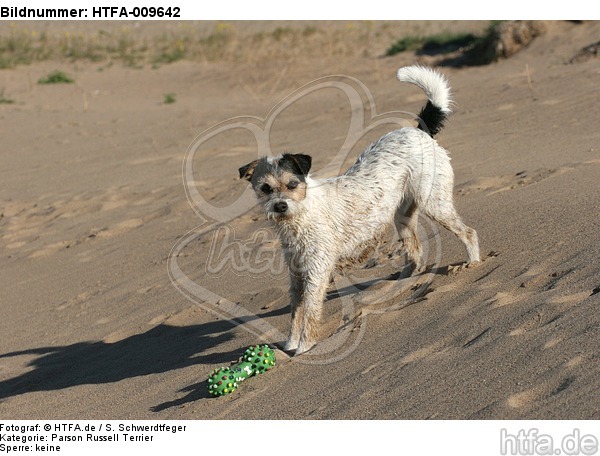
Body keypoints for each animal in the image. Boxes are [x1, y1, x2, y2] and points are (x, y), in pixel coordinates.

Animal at [238, 65, 478, 356]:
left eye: (292, 184)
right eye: (265, 188)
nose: (280, 206)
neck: (301, 215)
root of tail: (418, 132)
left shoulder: (316, 273)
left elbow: (309, 314)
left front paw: (305, 346)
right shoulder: (296, 275)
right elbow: (296, 313)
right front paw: (291, 344)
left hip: (436, 204)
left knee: (468, 232)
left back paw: (471, 262)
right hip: (403, 215)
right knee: (415, 252)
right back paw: (401, 282)